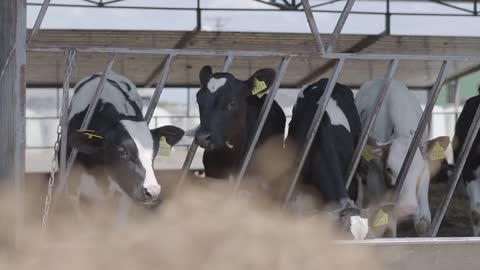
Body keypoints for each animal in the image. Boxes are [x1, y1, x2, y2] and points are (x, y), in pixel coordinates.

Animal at [356, 79, 450, 236]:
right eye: (388, 169)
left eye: (420, 169)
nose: (408, 207)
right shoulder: (375, 175)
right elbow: (386, 223)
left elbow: (422, 222)